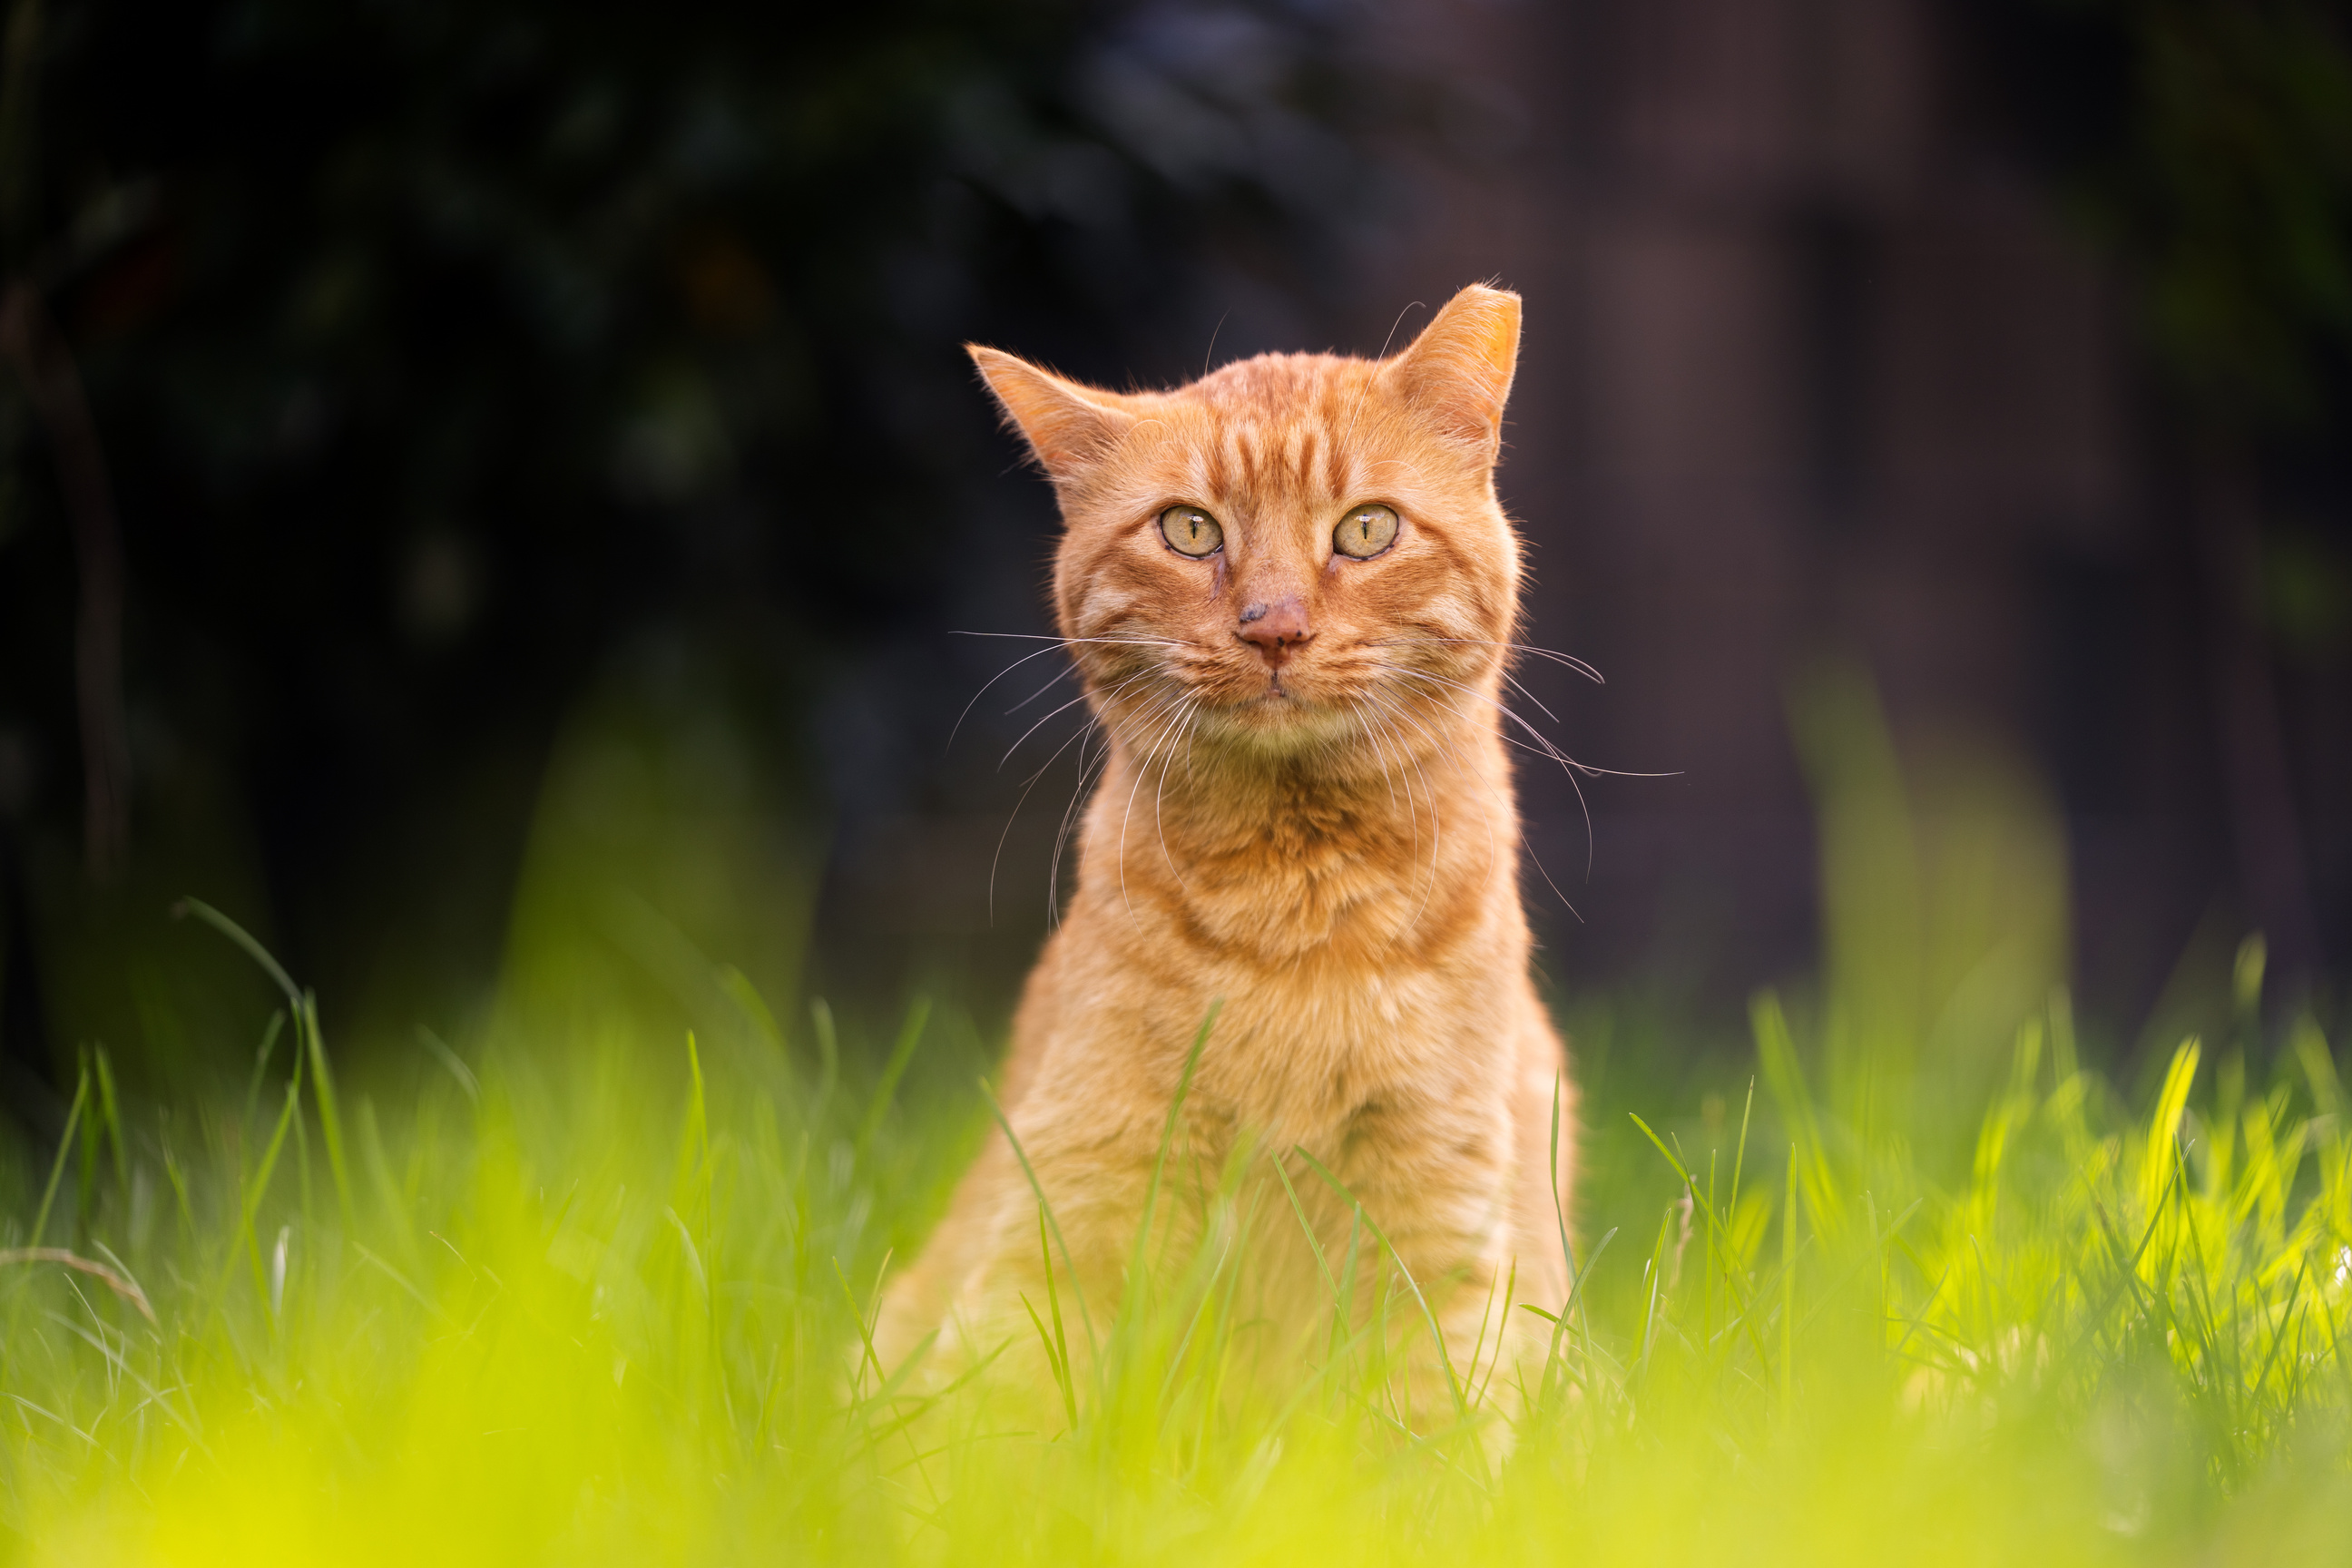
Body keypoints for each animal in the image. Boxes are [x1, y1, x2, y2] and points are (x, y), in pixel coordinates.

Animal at [884, 285, 1580, 1419]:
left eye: (1367, 529)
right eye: (1189, 529)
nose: (1275, 627)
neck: (1295, 911)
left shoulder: (1443, 1247)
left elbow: (1425, 1440)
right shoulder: (1065, 1223)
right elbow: (1012, 1426)